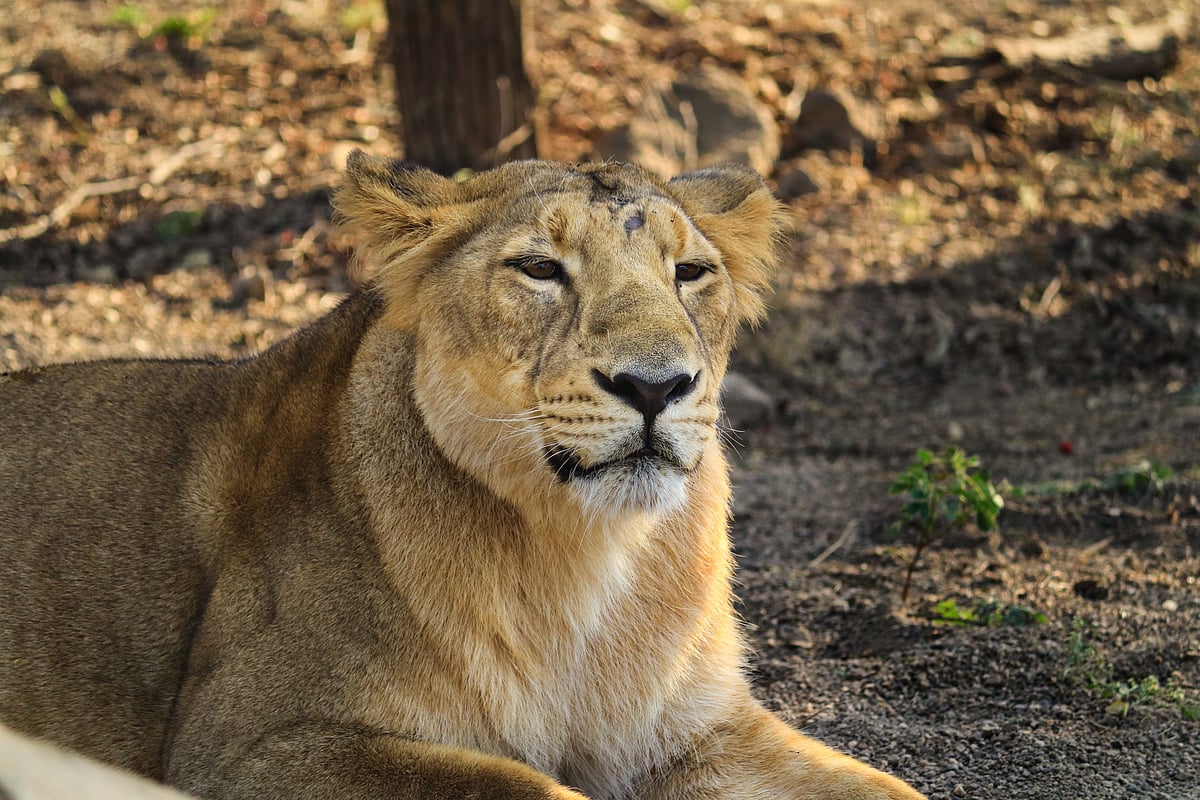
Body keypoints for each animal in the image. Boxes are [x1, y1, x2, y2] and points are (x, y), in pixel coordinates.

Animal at [0, 153, 925, 800]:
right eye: (541, 269)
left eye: (689, 272)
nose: (656, 386)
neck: (584, 558)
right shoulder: (246, 743)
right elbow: (523, 785)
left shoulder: (697, 732)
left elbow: (888, 787)